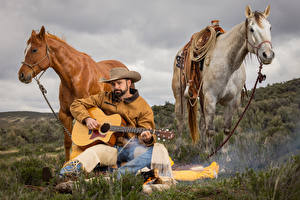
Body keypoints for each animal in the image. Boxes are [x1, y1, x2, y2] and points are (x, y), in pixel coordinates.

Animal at [17, 26, 127, 161]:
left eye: (34, 50)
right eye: (25, 50)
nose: (21, 75)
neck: (75, 76)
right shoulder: (65, 114)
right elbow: (68, 142)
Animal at [171, 5, 274, 145]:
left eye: (270, 27)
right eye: (252, 29)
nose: (268, 55)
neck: (228, 64)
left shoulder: (232, 102)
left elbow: (226, 131)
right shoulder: (211, 100)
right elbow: (210, 132)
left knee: (201, 124)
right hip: (179, 97)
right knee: (180, 123)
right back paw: (179, 147)